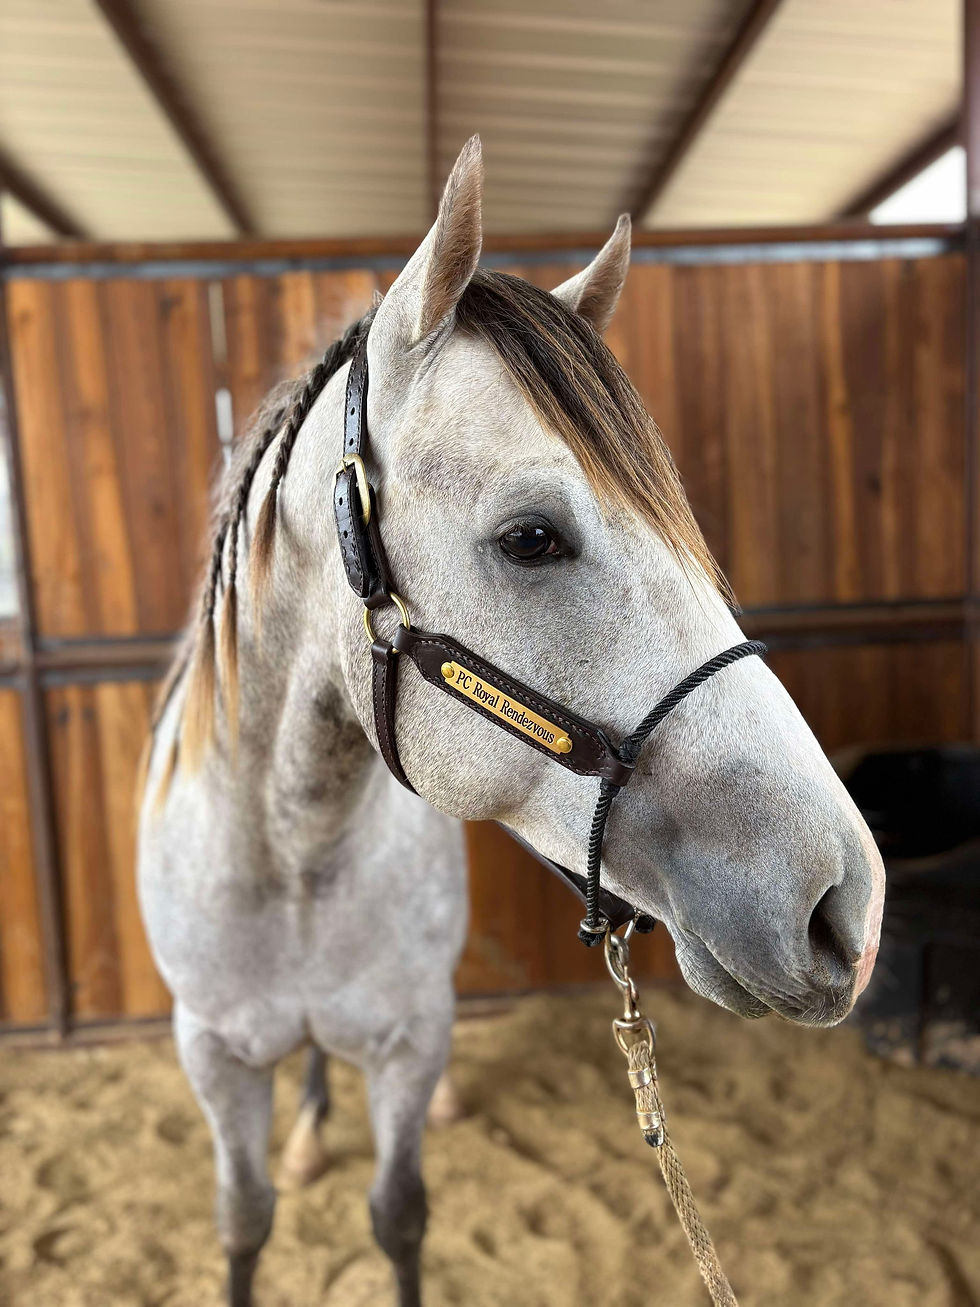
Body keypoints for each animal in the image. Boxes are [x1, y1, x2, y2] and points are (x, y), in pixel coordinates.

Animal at [137, 136, 884, 1307]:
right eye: (532, 537)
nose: (845, 902)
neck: (292, 852)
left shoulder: (405, 1044)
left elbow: (399, 1213)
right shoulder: (214, 1055)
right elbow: (245, 1220)